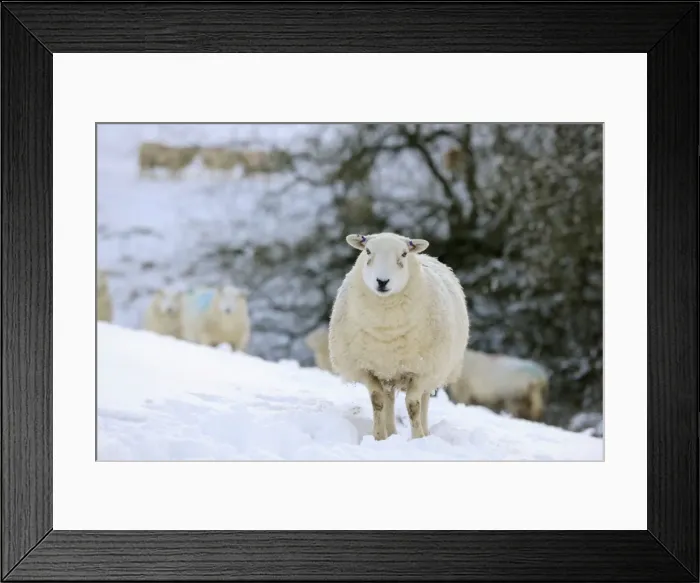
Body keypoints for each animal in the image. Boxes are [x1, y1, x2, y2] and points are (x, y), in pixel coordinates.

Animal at [328, 232, 469, 440]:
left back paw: (425, 432)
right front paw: (379, 437)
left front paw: (418, 438)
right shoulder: (365, 368)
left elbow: (413, 405)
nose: (382, 281)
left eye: (404, 254)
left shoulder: (421, 371)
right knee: (388, 399)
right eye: (367, 251)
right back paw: (392, 431)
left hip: (433, 369)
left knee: (424, 400)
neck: (387, 329)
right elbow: (377, 400)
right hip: (388, 370)